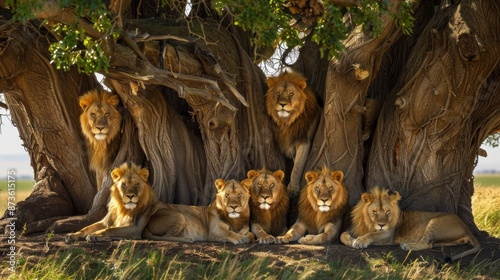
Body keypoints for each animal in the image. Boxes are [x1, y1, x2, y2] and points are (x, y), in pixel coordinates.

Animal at [66, 163, 254, 244]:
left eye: (136, 185)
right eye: (124, 185)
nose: (130, 196)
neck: (122, 208)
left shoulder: (135, 229)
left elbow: (248, 233)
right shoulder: (214, 230)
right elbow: (93, 228)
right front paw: (75, 234)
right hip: (179, 215)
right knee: (166, 236)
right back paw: (190, 238)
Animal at [340, 186, 480, 262]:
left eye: (387, 211)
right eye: (374, 212)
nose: (381, 225)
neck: (369, 222)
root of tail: (465, 227)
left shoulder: (388, 235)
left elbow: (371, 235)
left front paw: (359, 241)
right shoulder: (354, 229)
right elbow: (343, 235)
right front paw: (351, 240)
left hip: (434, 222)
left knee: (426, 244)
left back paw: (406, 245)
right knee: (431, 244)